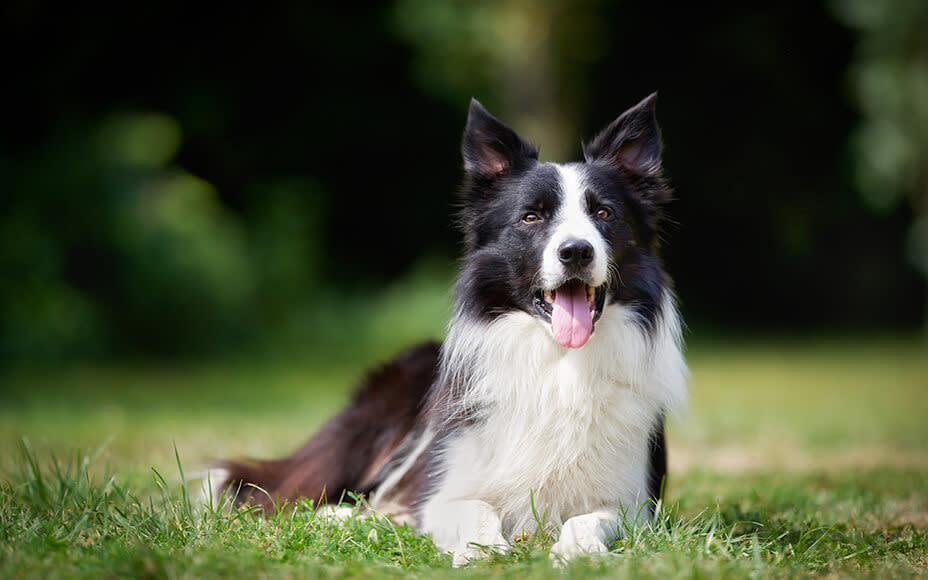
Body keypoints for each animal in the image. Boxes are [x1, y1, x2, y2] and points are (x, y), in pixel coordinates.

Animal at [210, 94, 688, 560]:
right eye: (531, 217)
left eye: (604, 213)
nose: (576, 251)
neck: (558, 363)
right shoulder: (443, 488)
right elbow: (472, 509)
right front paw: (485, 552)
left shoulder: (634, 503)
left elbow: (588, 519)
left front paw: (579, 551)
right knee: (294, 495)